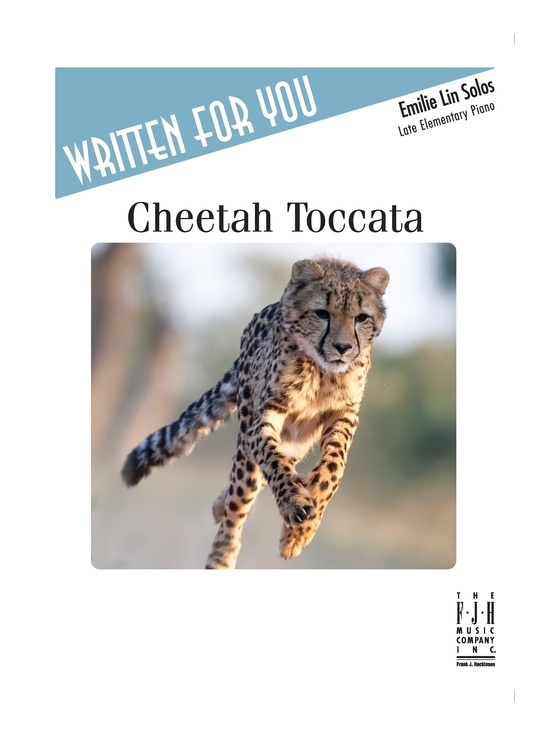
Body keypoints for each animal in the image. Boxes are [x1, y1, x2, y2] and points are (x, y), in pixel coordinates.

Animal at [121, 256, 389, 569]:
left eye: (361, 317)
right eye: (322, 313)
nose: (343, 347)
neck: (323, 371)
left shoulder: (344, 414)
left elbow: (333, 468)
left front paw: (300, 532)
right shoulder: (266, 415)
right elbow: (274, 462)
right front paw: (295, 505)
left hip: (296, 440)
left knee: (253, 484)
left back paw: (220, 506)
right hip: (249, 441)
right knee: (239, 501)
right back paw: (221, 553)